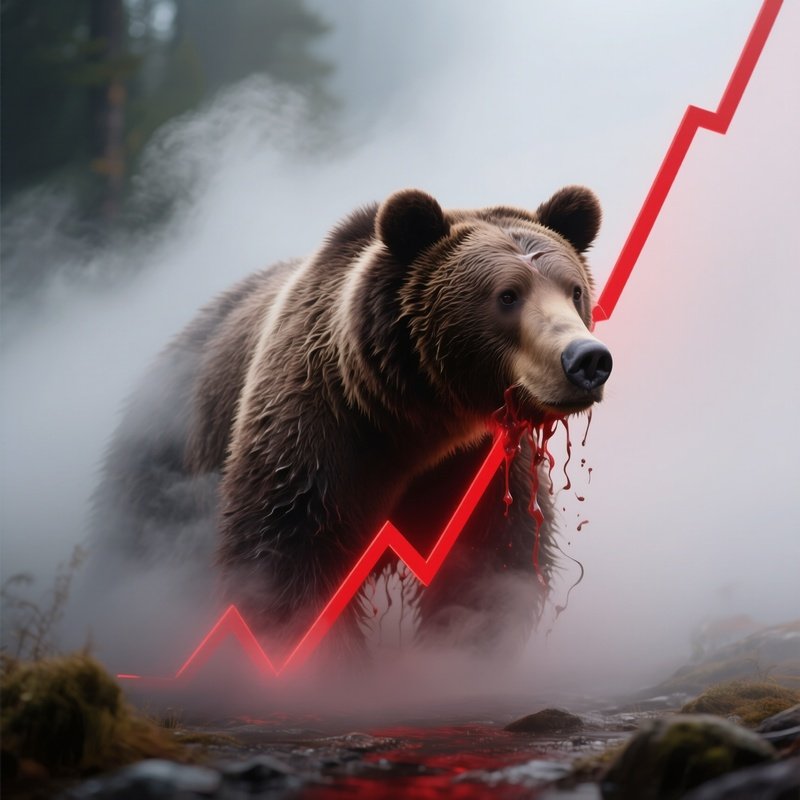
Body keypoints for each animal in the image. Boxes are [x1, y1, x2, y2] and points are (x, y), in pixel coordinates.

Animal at [90, 186, 612, 658]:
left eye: (574, 290)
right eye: (507, 295)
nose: (586, 359)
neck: (422, 419)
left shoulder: (480, 467)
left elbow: (491, 565)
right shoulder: (316, 435)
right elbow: (284, 561)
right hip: (162, 470)